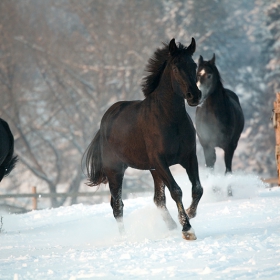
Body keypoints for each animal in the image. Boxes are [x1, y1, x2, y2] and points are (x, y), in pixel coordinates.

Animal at [84, 37, 202, 241]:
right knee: (117, 205)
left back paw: (171, 225)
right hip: (116, 171)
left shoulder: (188, 158)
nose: (194, 96)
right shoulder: (161, 162)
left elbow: (197, 189)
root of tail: (104, 124)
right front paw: (187, 229)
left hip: (153, 170)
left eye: (194, 65)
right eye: (175, 67)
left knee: (157, 199)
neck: (170, 118)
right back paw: (125, 236)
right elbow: (176, 190)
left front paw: (190, 213)